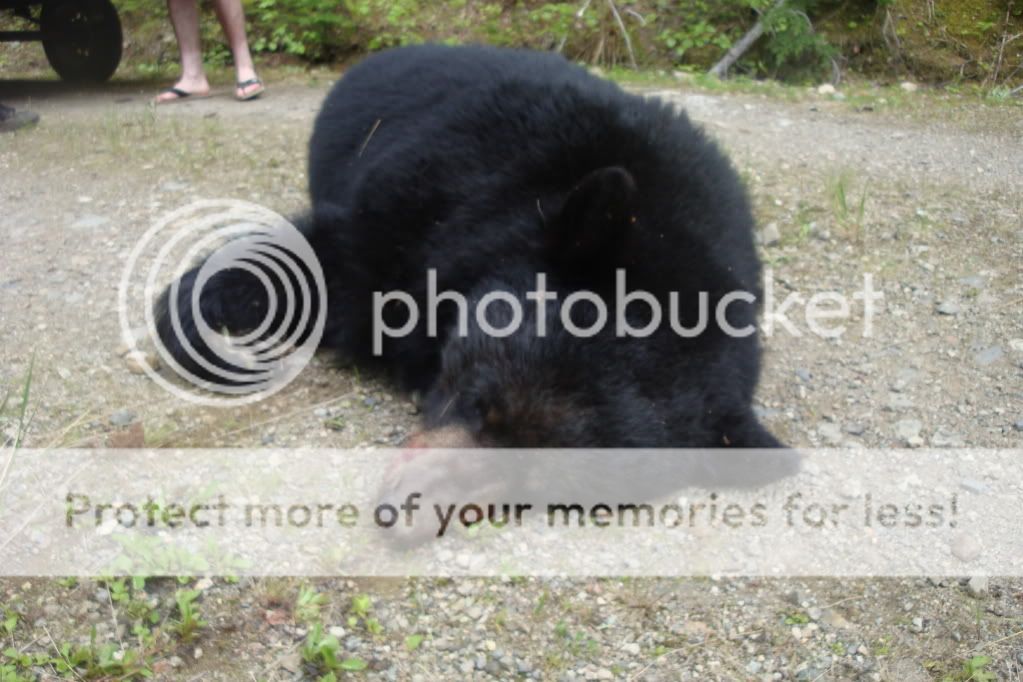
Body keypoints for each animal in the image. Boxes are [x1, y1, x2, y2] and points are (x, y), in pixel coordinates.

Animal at [156, 45, 798, 531]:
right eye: (480, 401)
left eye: (537, 488)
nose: (400, 513)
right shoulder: (437, 197)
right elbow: (323, 261)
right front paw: (192, 320)